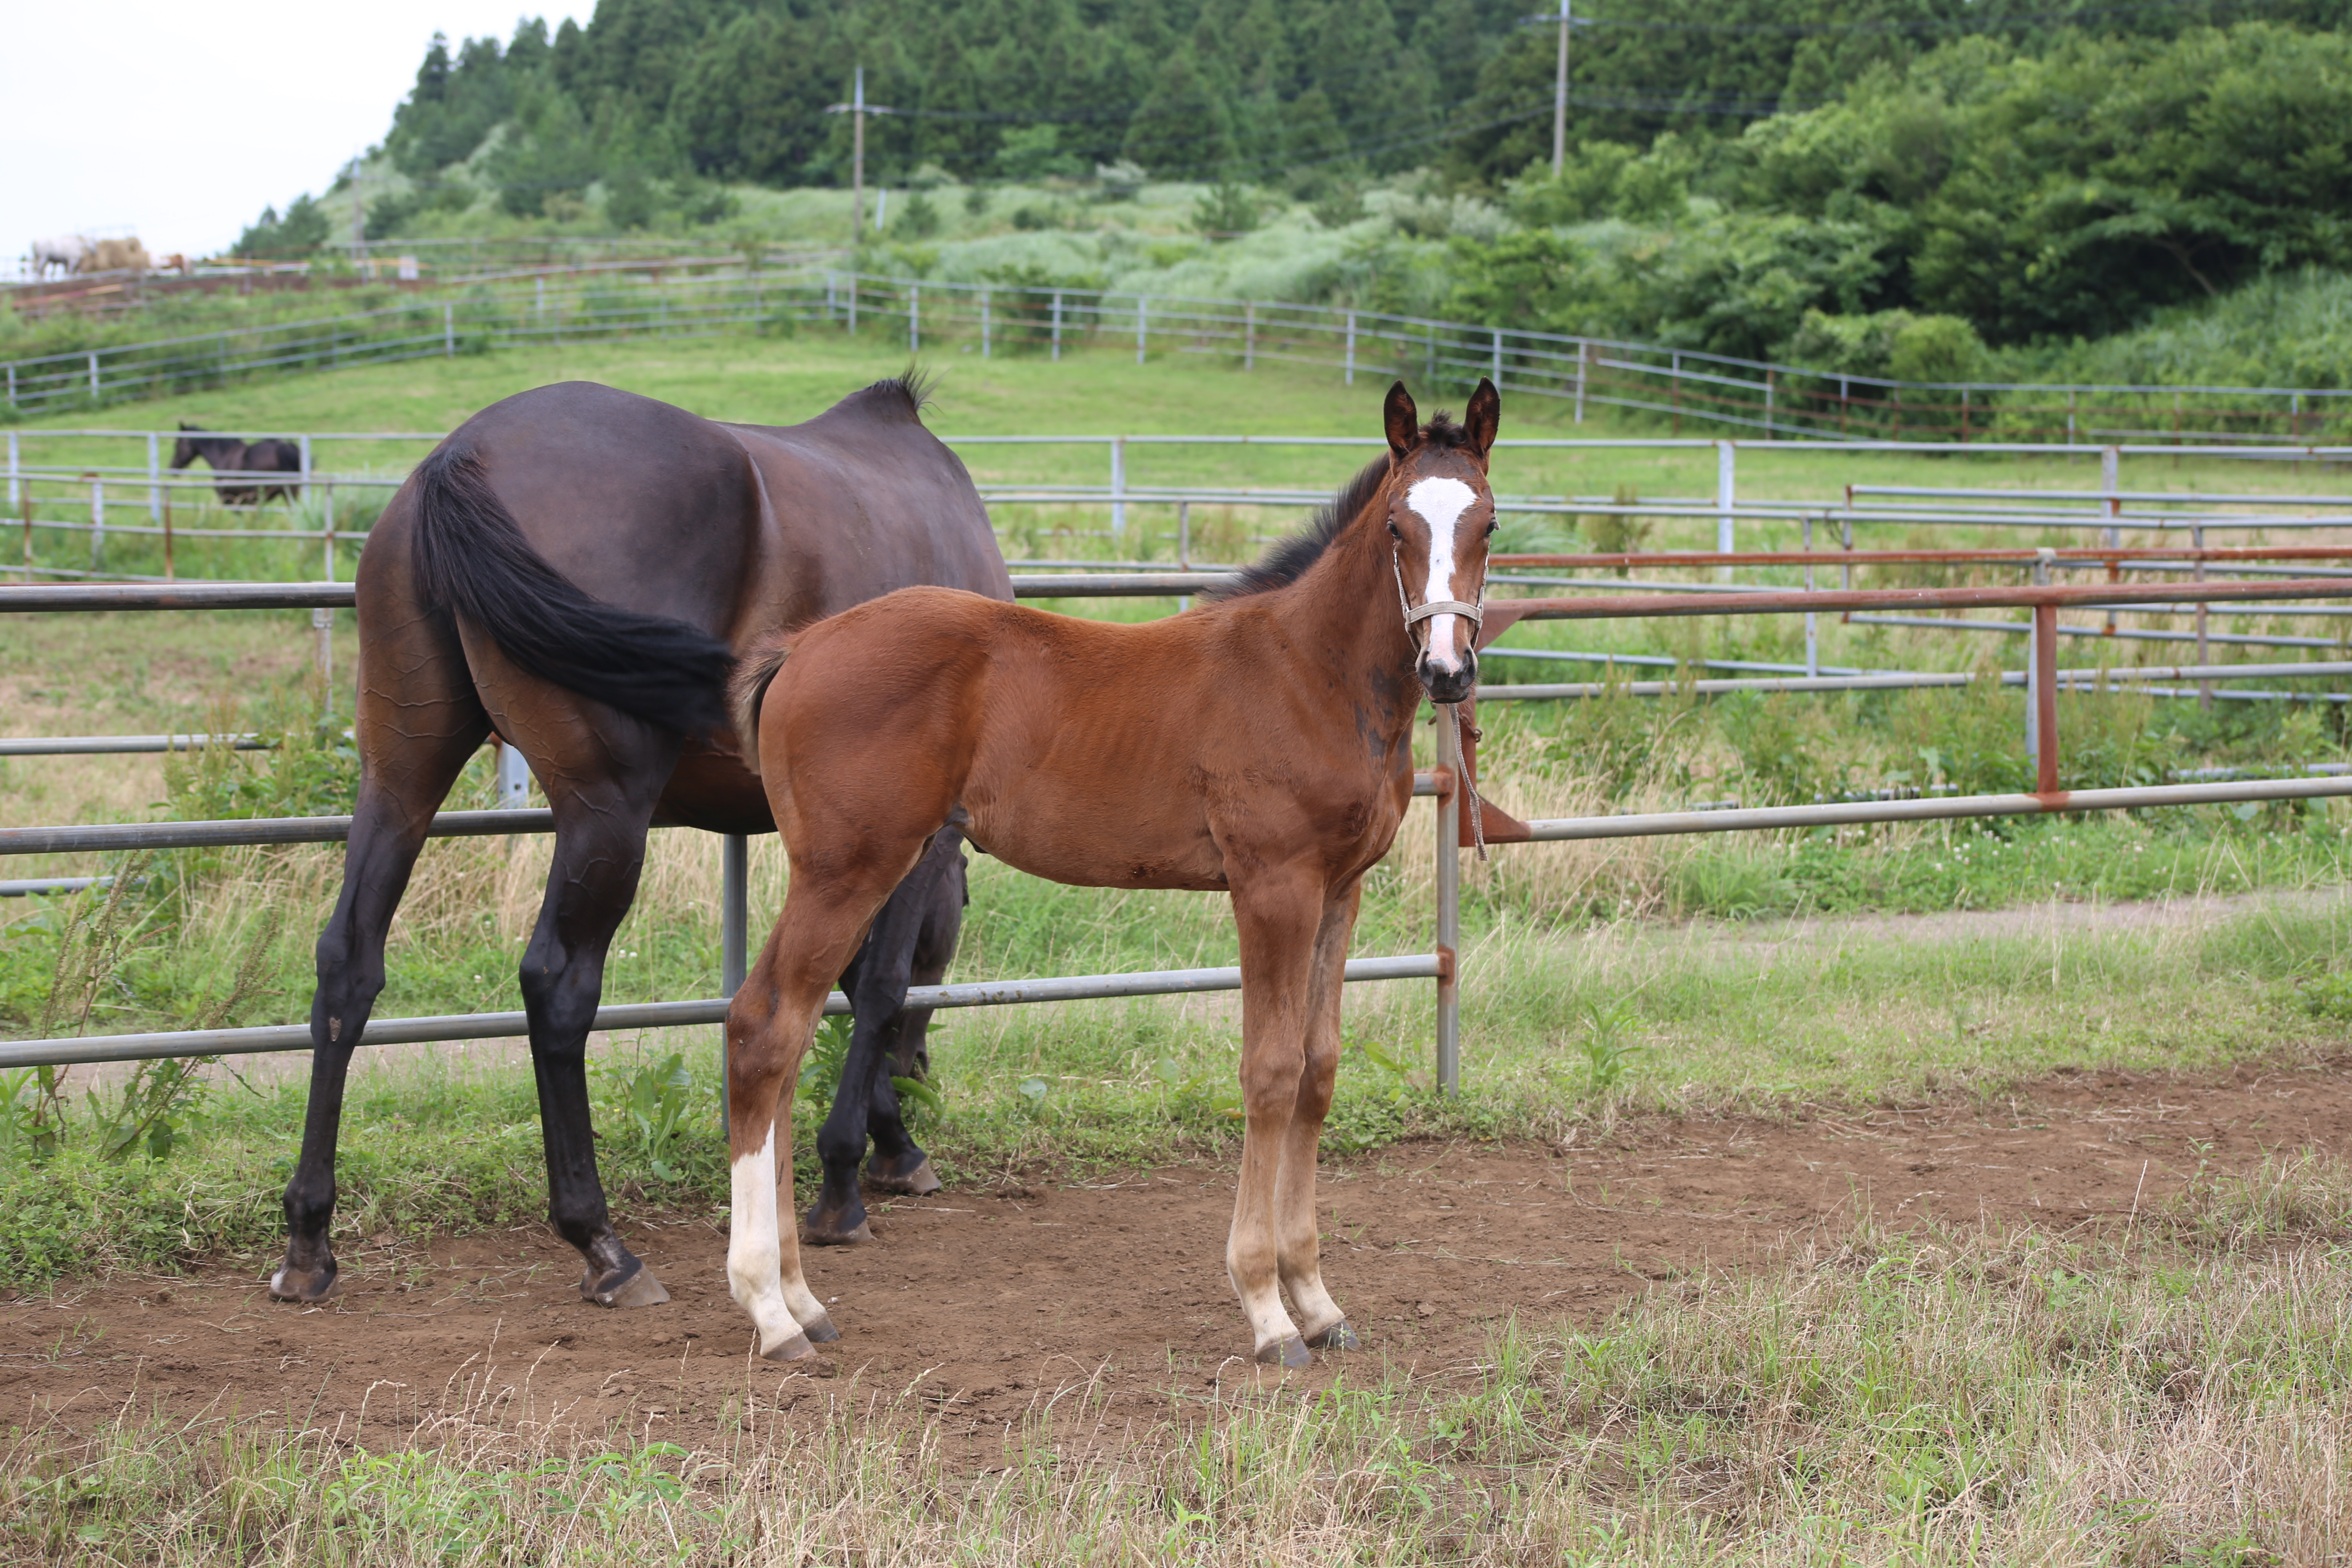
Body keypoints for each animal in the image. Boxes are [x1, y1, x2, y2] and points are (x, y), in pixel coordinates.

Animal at [273, 381, 1011, 1316]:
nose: (921, 1071)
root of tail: (462, 456)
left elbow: (832, 982)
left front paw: (886, 1144)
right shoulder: (922, 837)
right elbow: (875, 984)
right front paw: (851, 1176)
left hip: (402, 778)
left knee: (348, 966)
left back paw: (309, 1240)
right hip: (606, 813)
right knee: (557, 986)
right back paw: (601, 1243)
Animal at [724, 381, 1496, 1363]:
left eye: (1490, 525)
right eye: (1399, 526)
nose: (1447, 669)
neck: (1310, 674)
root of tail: (802, 648)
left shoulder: (1340, 890)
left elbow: (1318, 1073)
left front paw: (1319, 1301)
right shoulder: (1273, 887)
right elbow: (1270, 1071)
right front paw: (1266, 1308)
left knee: (785, 1037)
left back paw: (801, 1299)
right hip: (844, 870)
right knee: (764, 1029)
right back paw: (769, 1308)